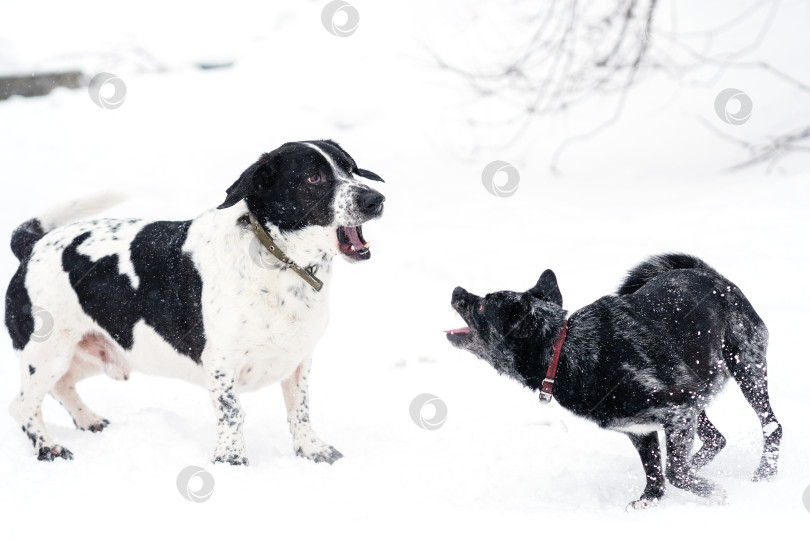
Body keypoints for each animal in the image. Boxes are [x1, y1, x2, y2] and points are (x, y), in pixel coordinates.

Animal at [5, 139, 386, 464]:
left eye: (350, 168)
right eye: (314, 177)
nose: (376, 199)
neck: (278, 261)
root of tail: (32, 246)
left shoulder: (299, 361)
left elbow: (300, 410)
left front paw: (313, 450)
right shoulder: (221, 364)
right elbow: (233, 413)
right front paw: (231, 461)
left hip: (89, 354)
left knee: (60, 387)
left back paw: (89, 420)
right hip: (48, 353)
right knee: (22, 405)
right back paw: (49, 447)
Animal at [446, 255, 780, 508]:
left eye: (482, 305)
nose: (456, 290)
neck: (564, 350)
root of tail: (711, 274)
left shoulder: (678, 411)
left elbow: (674, 472)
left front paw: (715, 495)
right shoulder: (645, 428)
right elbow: (656, 472)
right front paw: (650, 501)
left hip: (746, 368)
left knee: (771, 426)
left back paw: (765, 475)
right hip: (699, 394)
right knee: (715, 439)